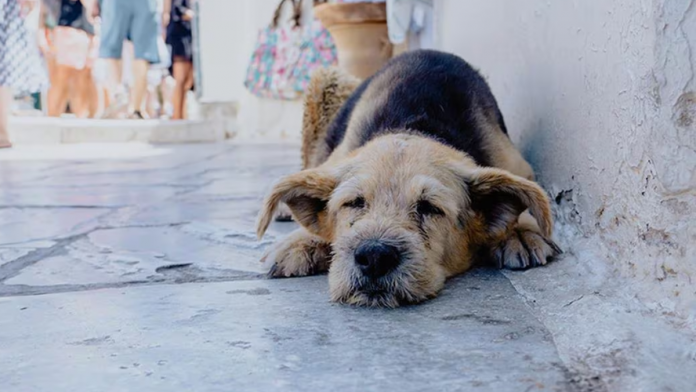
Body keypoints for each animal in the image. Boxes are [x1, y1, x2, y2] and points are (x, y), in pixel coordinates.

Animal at [256, 49, 560, 306]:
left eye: (430, 207)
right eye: (354, 202)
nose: (374, 257)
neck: (415, 125)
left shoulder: (516, 163)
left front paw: (519, 231)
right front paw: (300, 241)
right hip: (325, 83)